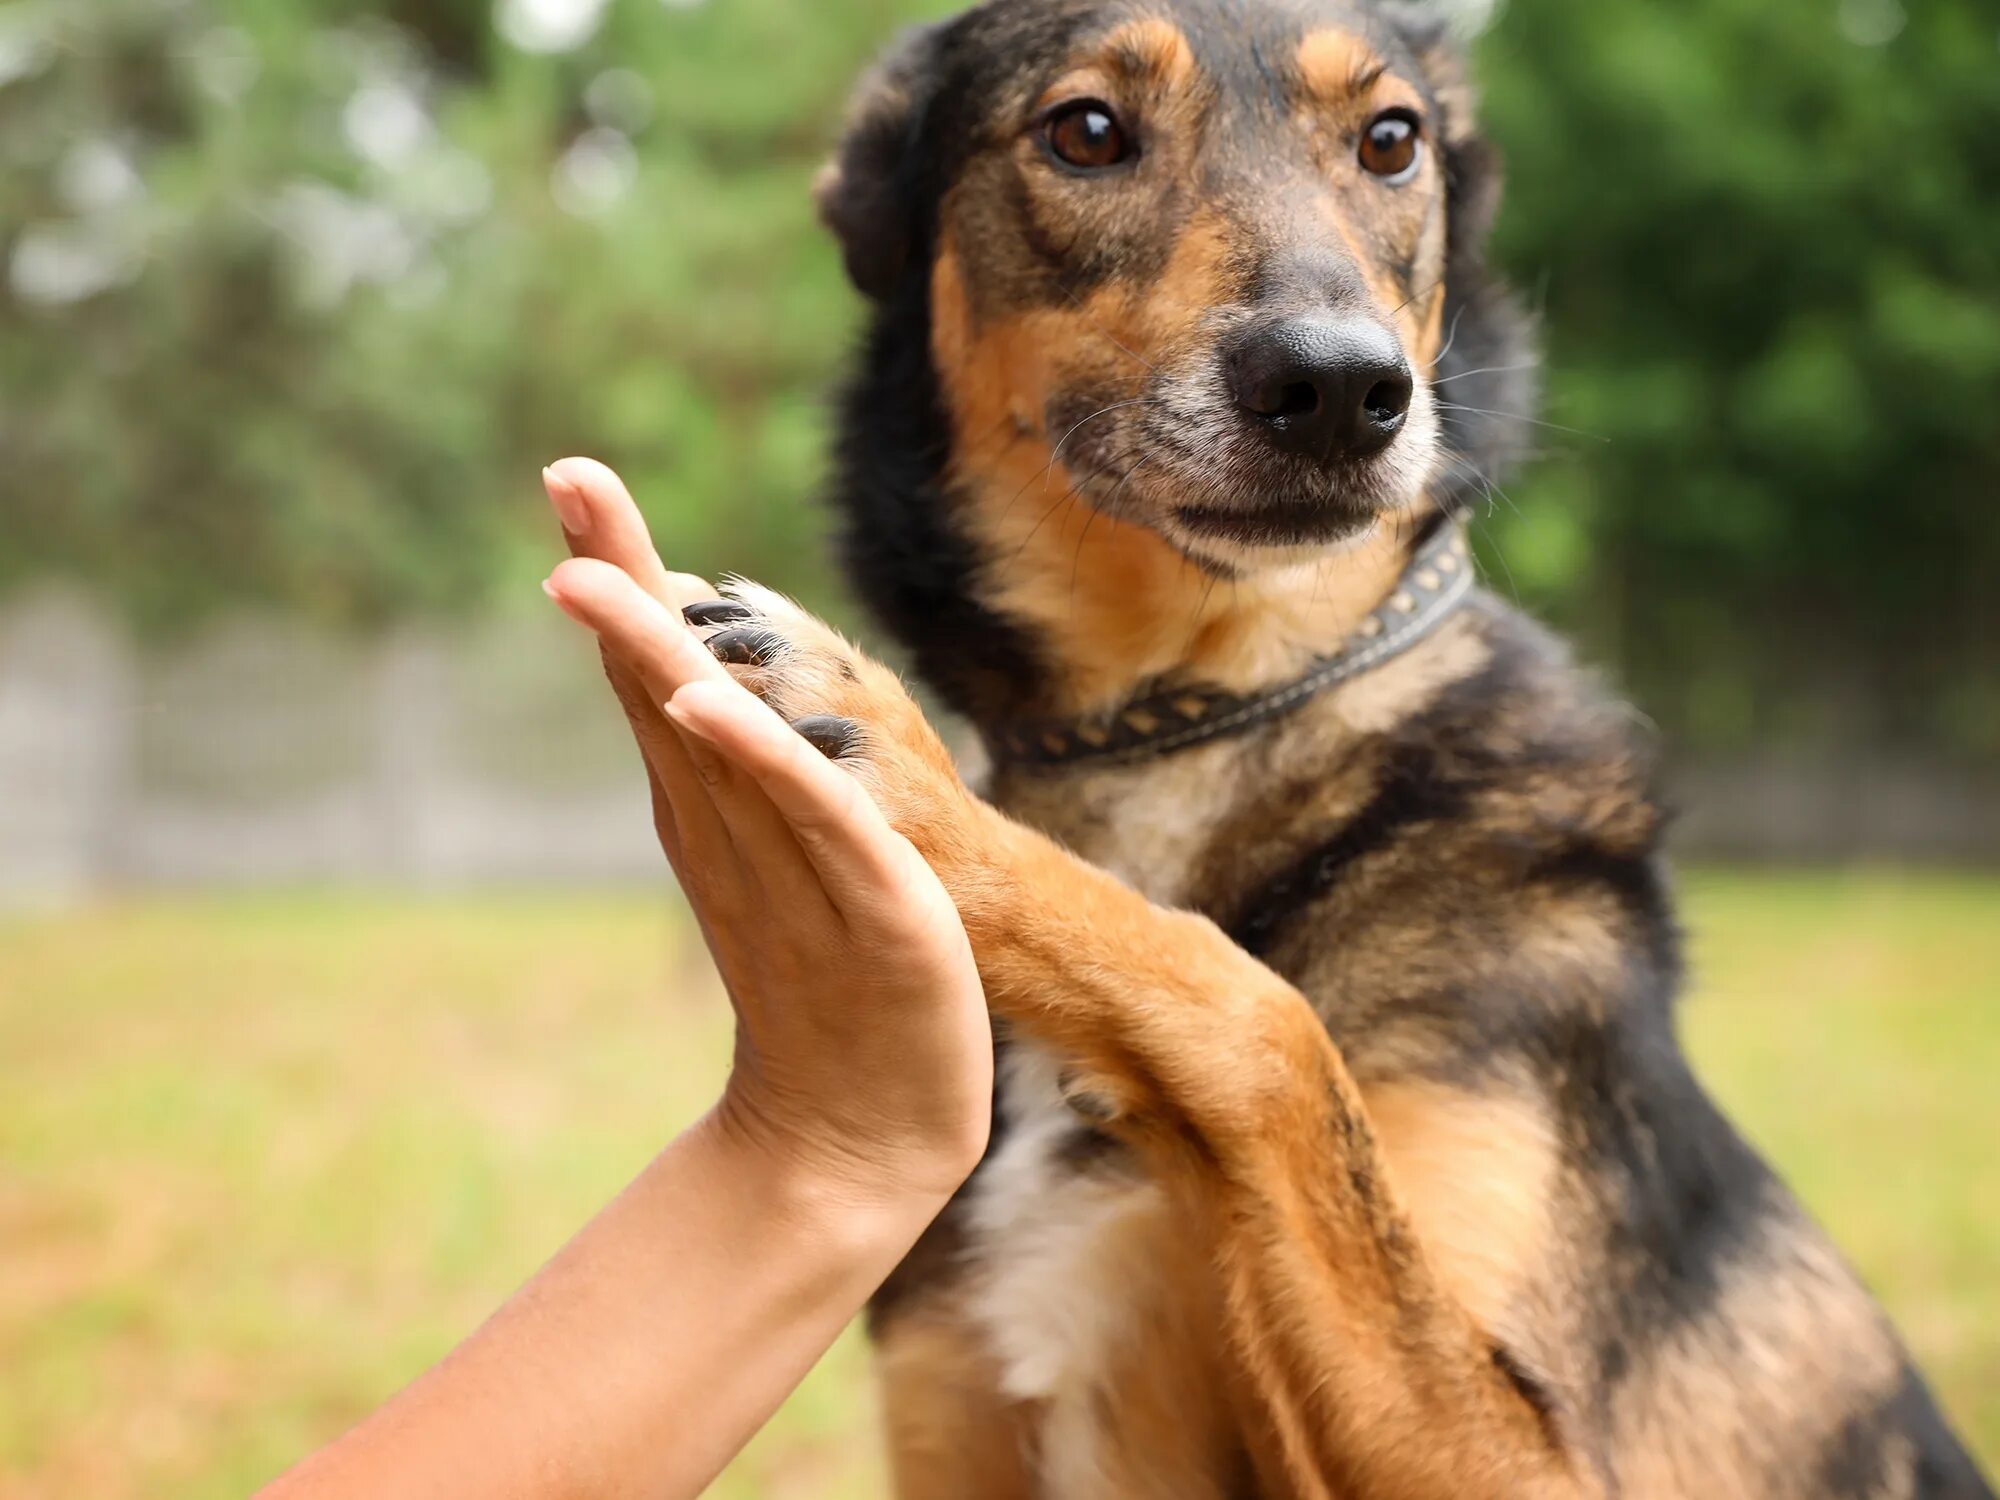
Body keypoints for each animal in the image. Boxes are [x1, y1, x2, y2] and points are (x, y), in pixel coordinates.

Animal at [676, 5, 2000, 1496]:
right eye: (1084, 130)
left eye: (1390, 141)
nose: (1336, 389)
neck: (1198, 710)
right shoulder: (954, 1411)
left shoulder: (1530, 1460)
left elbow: (1263, 1013)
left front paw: (916, 782)